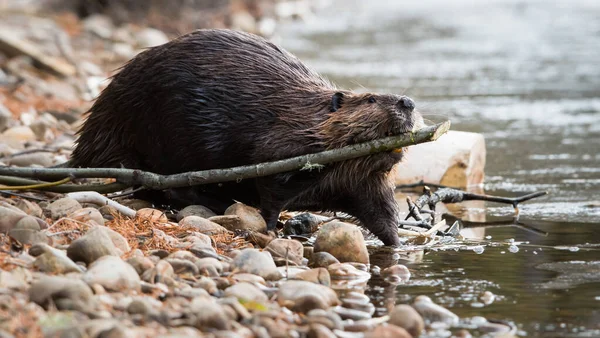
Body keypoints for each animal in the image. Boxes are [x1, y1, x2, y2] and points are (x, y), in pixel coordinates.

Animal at [69, 28, 418, 246]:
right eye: (371, 99)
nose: (408, 102)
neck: (305, 113)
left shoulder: (364, 182)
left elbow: (380, 211)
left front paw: (398, 244)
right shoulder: (282, 143)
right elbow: (271, 185)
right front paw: (272, 227)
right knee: (173, 187)